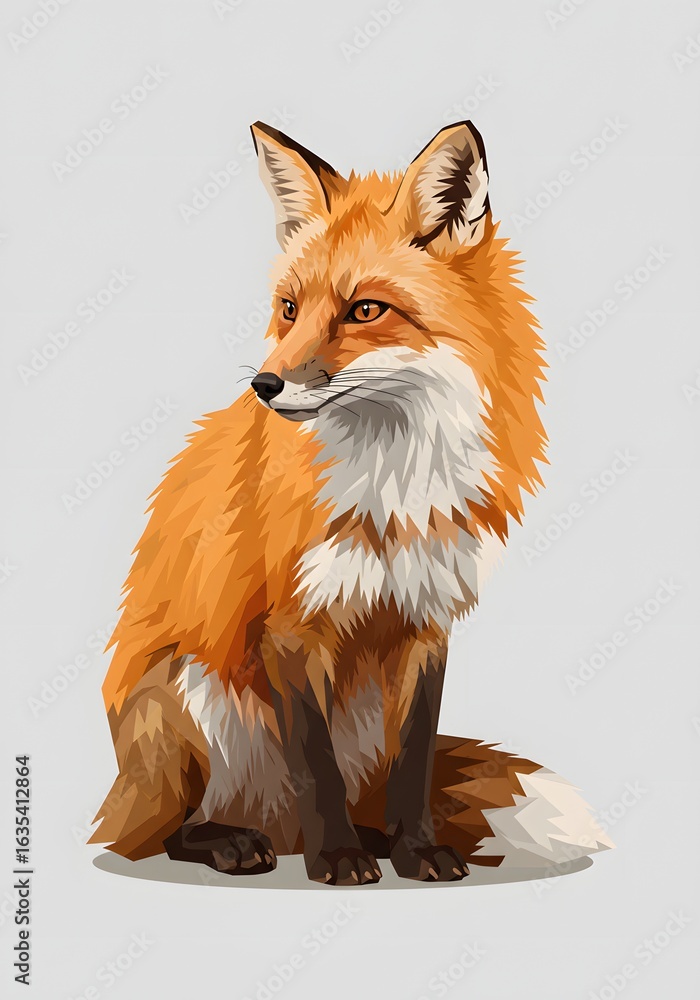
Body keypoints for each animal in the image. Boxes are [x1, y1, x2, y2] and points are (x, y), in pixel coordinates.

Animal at [90, 120, 613, 885]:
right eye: (289, 308)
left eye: (365, 310)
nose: (265, 386)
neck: (393, 486)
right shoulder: (288, 627)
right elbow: (316, 766)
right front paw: (337, 858)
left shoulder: (428, 623)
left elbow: (415, 763)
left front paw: (416, 851)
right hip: (189, 699)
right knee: (164, 832)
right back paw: (238, 842)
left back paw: (369, 839)